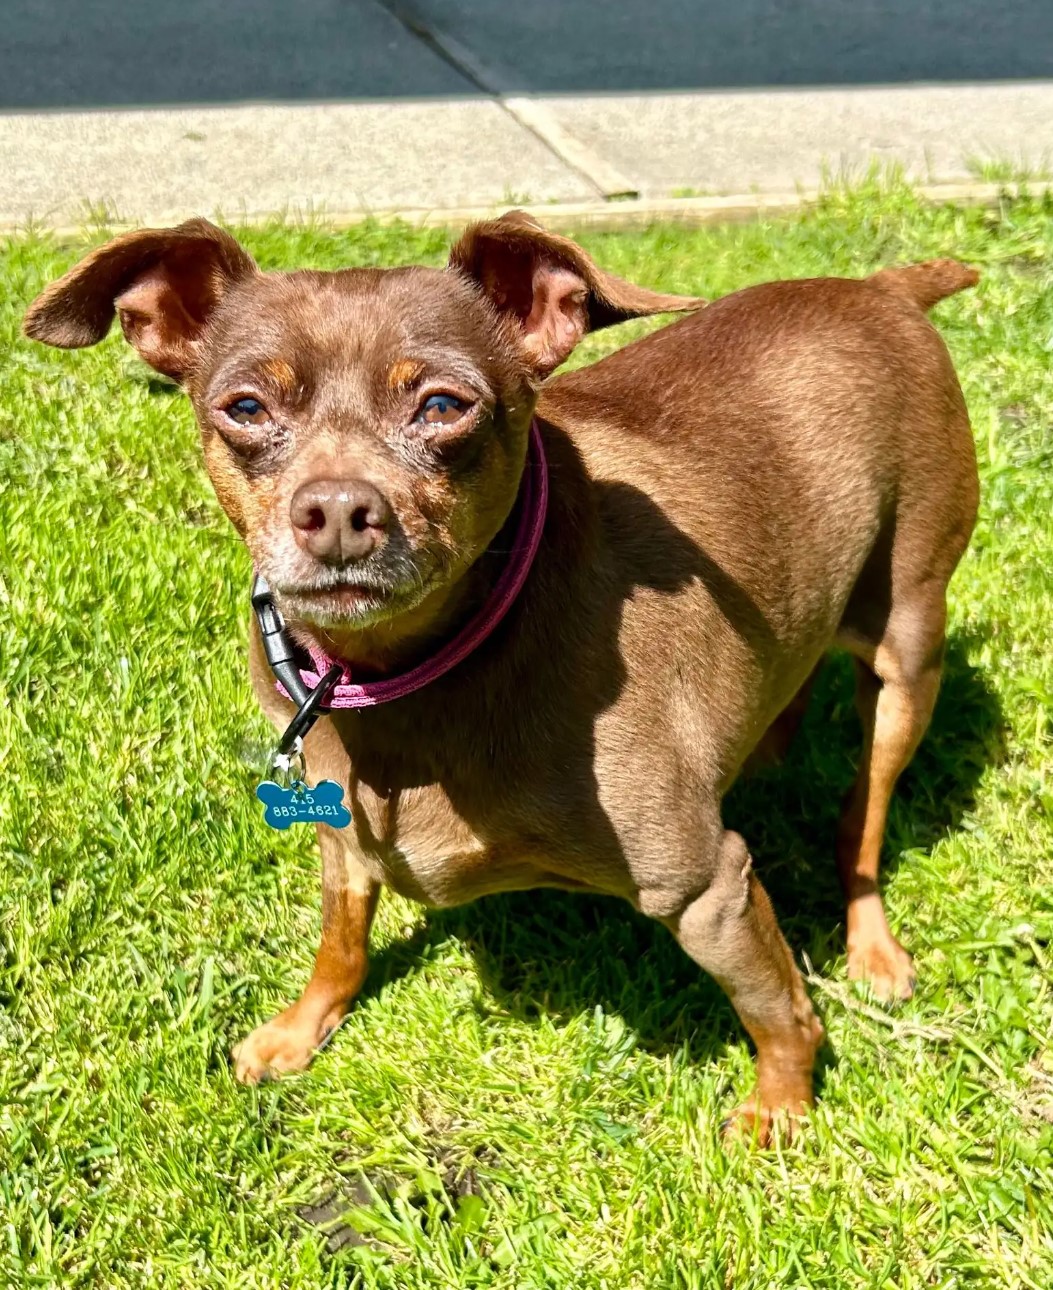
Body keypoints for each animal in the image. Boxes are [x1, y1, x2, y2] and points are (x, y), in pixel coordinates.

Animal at [24, 216, 980, 1145]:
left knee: (862, 820)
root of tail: (881, 289)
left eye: (443, 405)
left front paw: (780, 1108)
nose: (336, 509)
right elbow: (341, 941)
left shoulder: (707, 888)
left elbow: (777, 1009)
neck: (414, 677)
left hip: (906, 656)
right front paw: (301, 1028)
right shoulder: (343, 837)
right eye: (246, 408)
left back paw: (871, 947)